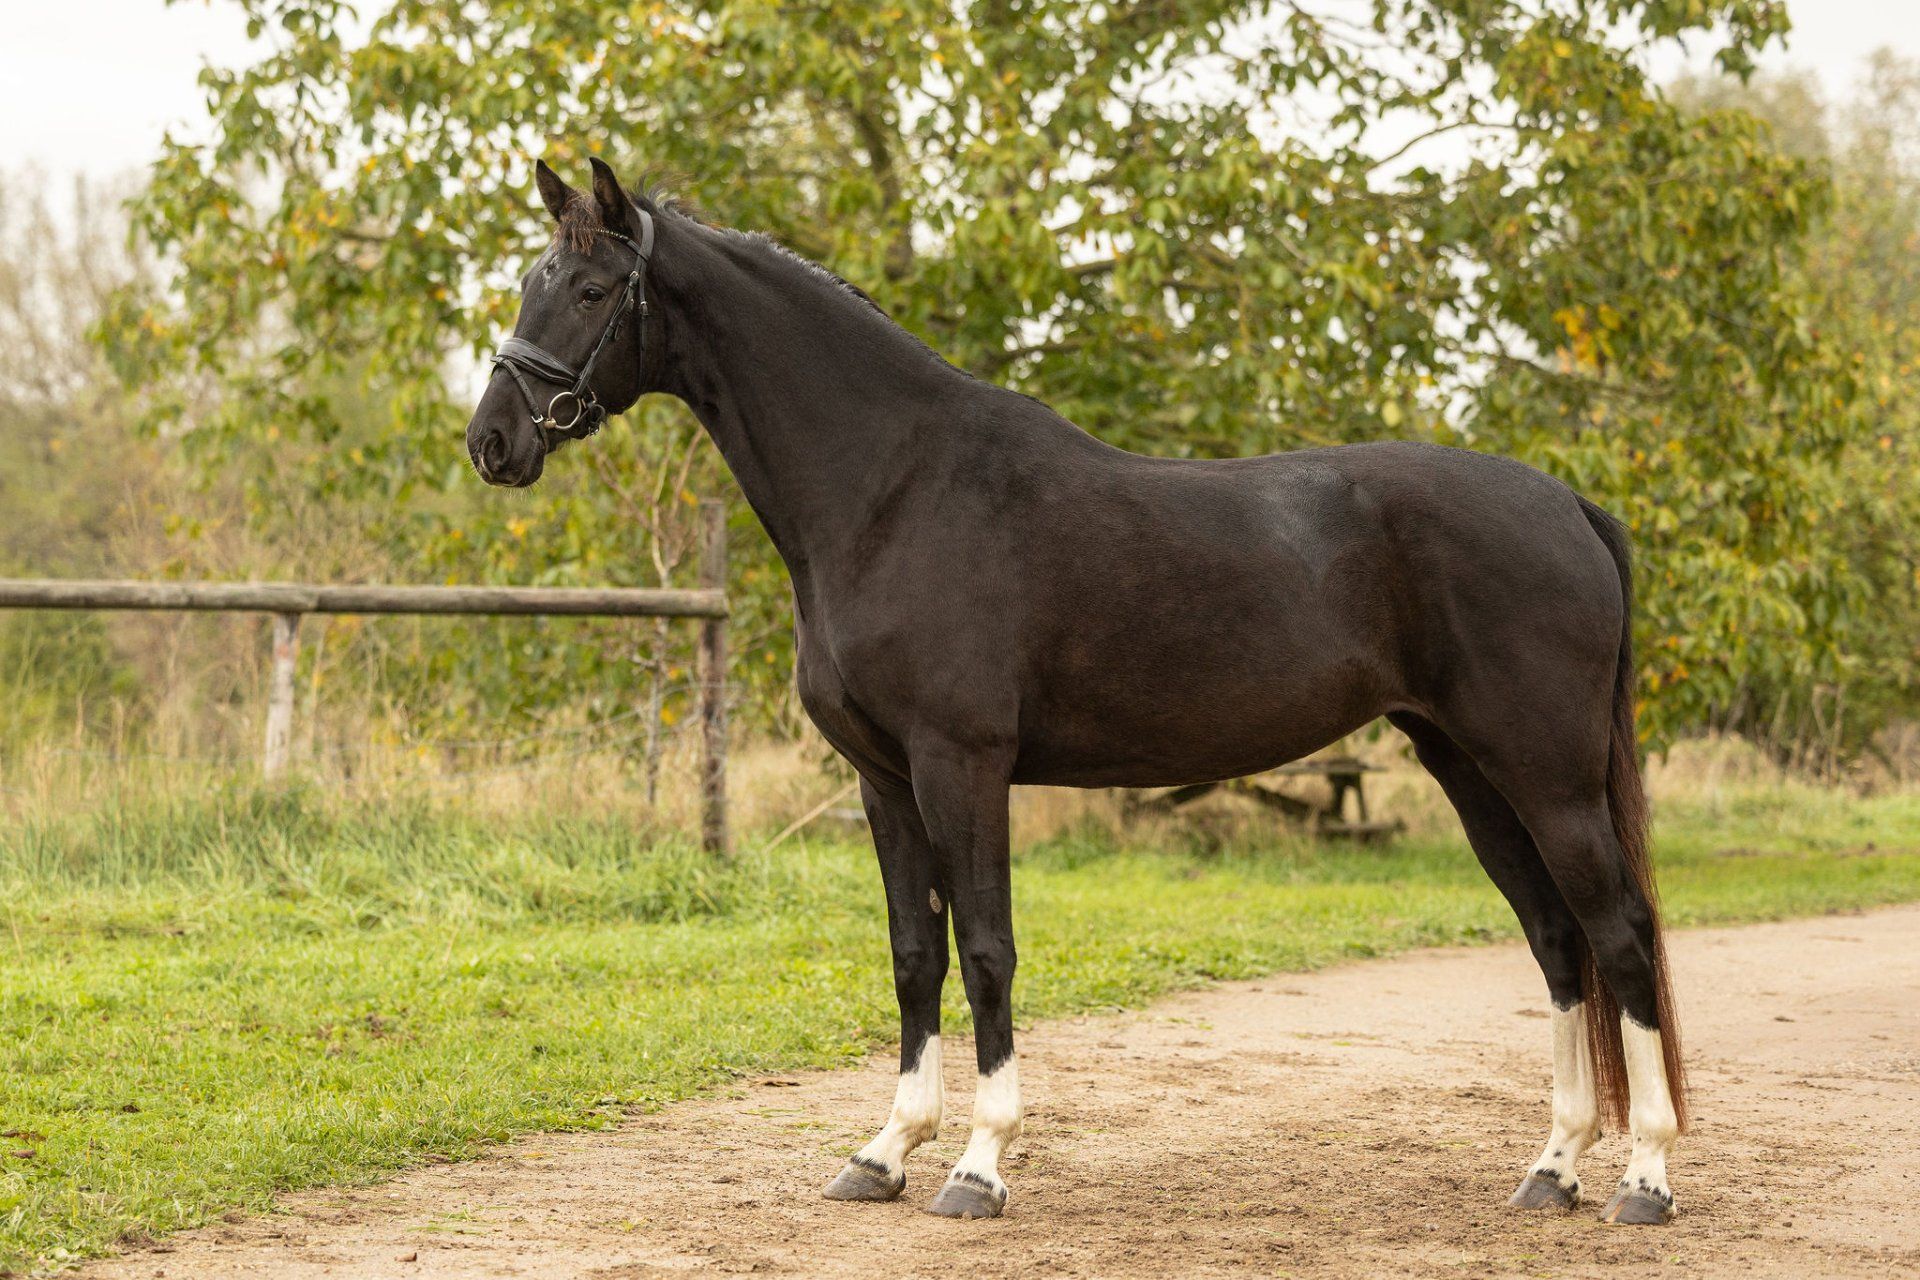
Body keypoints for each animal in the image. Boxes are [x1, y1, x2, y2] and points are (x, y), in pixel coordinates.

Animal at [465, 158, 1689, 1226]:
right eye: (530, 281)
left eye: (588, 289)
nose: (493, 441)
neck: (894, 489)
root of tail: (1569, 504)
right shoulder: (883, 780)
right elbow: (914, 953)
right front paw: (883, 1152)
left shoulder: (963, 766)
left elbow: (986, 950)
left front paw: (979, 1166)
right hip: (1468, 766)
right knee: (1556, 940)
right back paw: (1553, 1169)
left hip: (1546, 772)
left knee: (1619, 935)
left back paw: (1645, 1179)